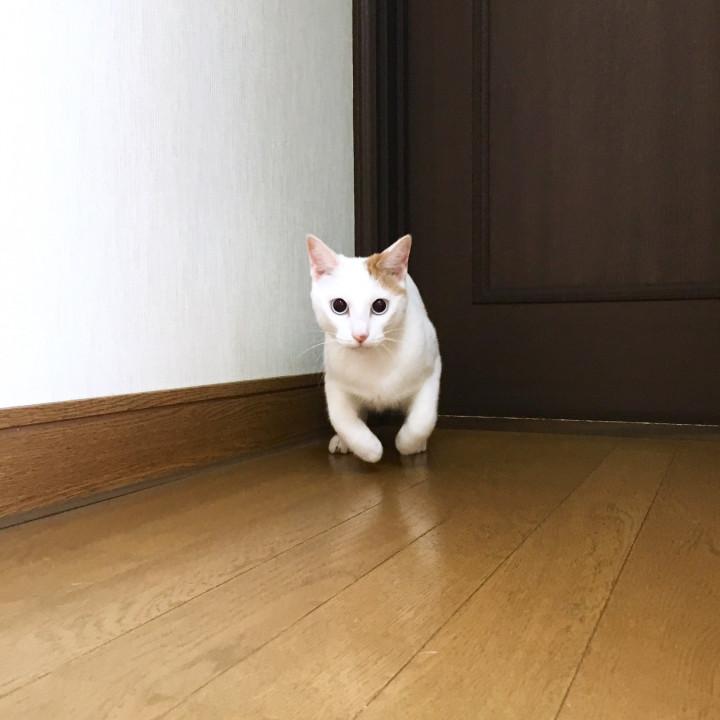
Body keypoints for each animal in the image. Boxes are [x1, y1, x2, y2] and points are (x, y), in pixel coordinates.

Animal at [306, 233, 441, 463]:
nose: (360, 335)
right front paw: (369, 449)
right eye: (339, 305)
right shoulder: (334, 382)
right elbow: (343, 421)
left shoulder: (432, 370)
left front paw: (407, 444)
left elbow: (421, 421)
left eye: (380, 306)